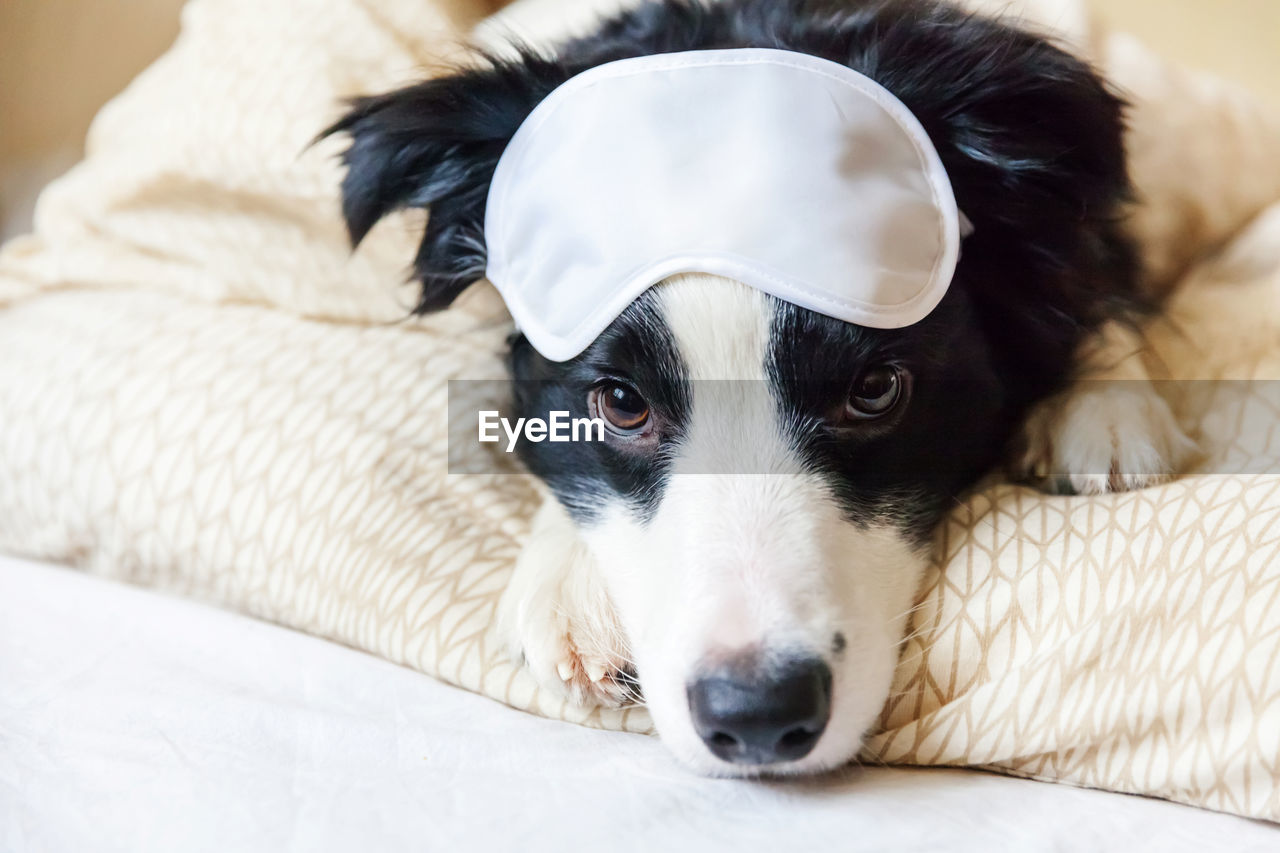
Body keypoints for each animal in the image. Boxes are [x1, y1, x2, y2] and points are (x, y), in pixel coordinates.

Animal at [330, 0, 1187, 773]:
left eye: (874, 389)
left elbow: (1097, 274)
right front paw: (569, 579)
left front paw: (1105, 407)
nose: (758, 715)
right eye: (621, 403)